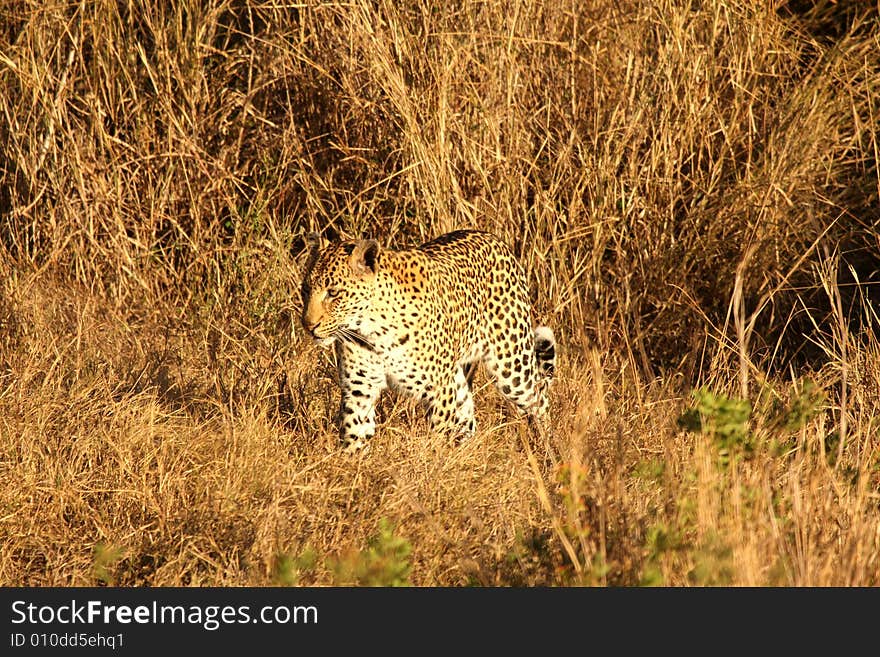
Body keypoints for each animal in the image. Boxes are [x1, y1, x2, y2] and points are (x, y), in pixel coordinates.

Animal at [300, 227, 552, 452]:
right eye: (305, 289)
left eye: (333, 293)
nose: (308, 325)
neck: (372, 332)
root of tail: (492, 237)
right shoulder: (359, 390)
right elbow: (354, 434)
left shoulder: (438, 392)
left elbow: (438, 438)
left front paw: (434, 466)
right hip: (458, 378)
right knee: (468, 417)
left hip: (512, 366)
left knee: (539, 397)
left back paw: (548, 449)